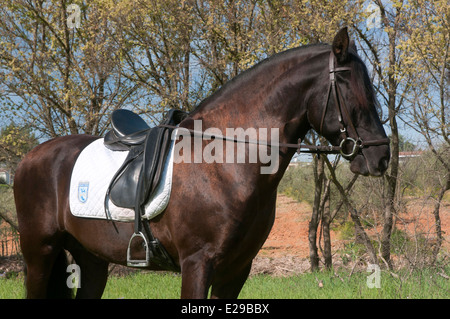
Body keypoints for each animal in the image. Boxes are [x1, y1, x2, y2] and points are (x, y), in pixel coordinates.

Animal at [14, 28, 386, 300]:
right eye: (350, 88)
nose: (380, 157)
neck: (225, 162)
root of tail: (30, 157)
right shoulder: (197, 264)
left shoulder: (236, 270)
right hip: (39, 253)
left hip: (91, 259)